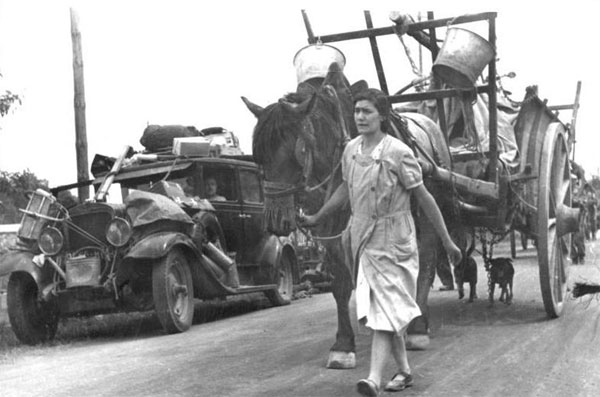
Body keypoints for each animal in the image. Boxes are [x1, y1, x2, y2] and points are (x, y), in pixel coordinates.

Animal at [243, 62, 464, 368]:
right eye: (259, 157)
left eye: (297, 151)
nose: (276, 221)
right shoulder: (331, 232)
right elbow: (340, 284)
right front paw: (343, 343)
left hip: (429, 210)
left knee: (427, 263)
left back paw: (418, 326)